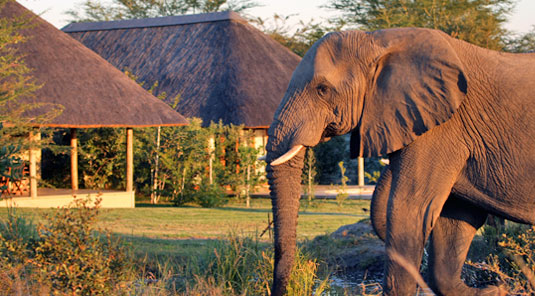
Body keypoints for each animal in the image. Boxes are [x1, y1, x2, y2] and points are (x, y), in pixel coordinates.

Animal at [264, 27, 535, 296]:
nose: (281, 289)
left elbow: (410, 211)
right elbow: (456, 217)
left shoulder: (442, 128)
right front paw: (494, 290)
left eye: (322, 89)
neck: (378, 41)